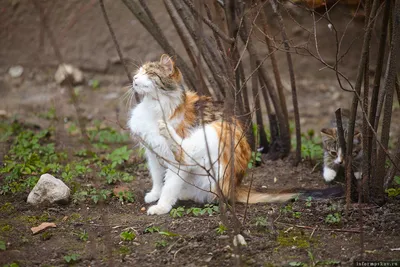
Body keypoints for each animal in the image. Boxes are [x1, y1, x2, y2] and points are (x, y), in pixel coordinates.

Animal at [128, 54, 306, 216]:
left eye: (149, 73)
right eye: (139, 71)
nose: (134, 77)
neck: (153, 107)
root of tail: (235, 187)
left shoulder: (173, 161)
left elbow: (170, 185)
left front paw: (162, 206)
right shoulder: (153, 152)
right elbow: (158, 178)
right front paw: (155, 194)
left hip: (217, 130)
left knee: (185, 153)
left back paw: (166, 130)